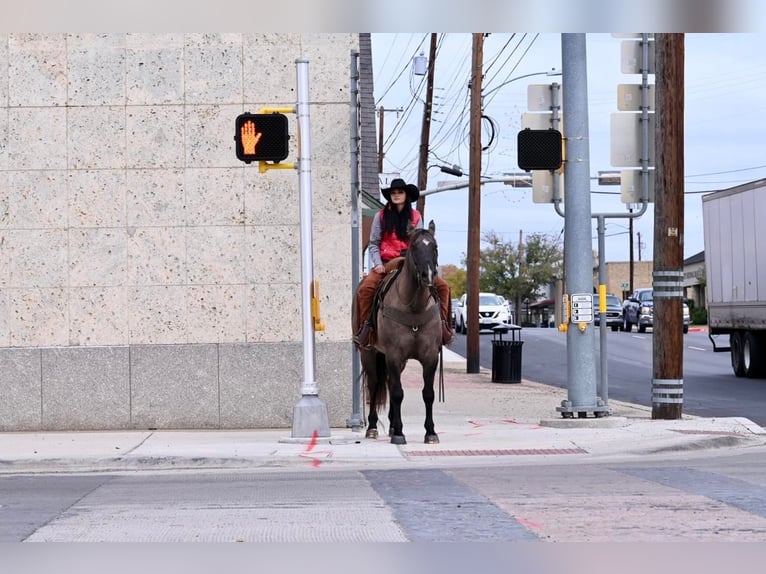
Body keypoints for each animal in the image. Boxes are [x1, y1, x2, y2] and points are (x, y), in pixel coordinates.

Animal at [356, 220, 440, 446]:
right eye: (414, 247)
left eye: (434, 246)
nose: (428, 275)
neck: (414, 306)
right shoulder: (394, 354)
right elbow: (397, 393)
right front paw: (400, 434)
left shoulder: (430, 356)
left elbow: (428, 394)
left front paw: (430, 432)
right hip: (370, 353)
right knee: (375, 385)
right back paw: (373, 427)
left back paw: (393, 425)